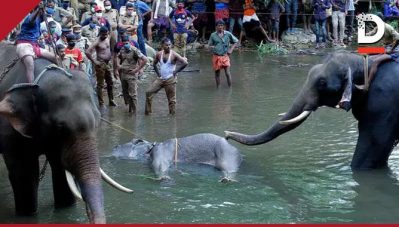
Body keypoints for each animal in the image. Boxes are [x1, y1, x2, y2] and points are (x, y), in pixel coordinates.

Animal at [112, 133, 244, 181]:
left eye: (134, 141)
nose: (115, 146)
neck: (149, 148)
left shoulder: (160, 152)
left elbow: (160, 165)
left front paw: (163, 177)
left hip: (227, 156)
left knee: (229, 170)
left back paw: (227, 179)